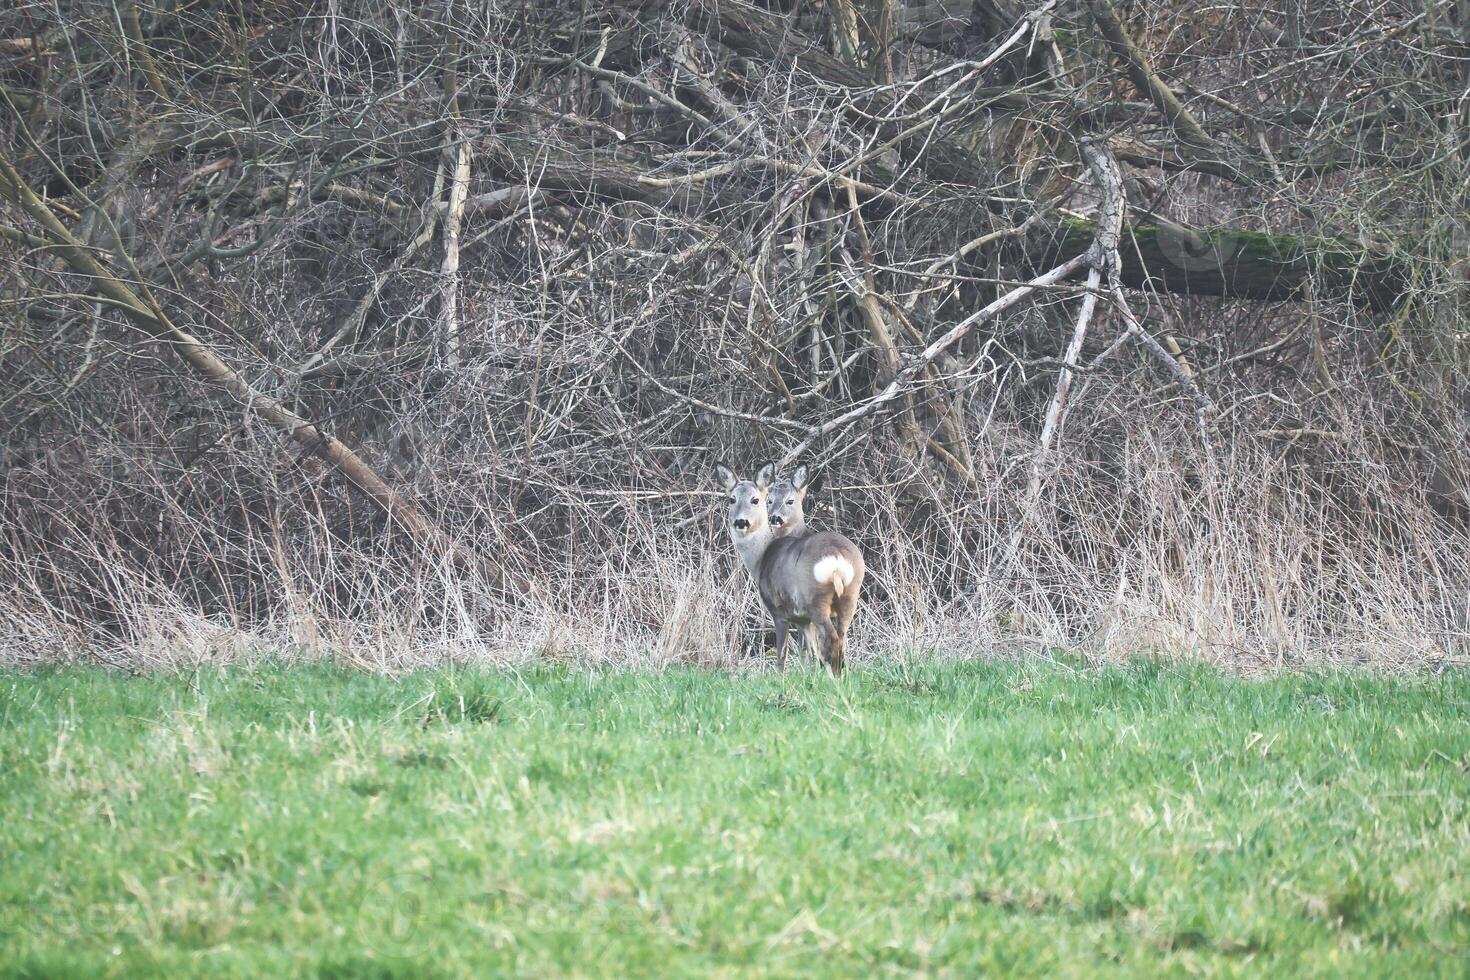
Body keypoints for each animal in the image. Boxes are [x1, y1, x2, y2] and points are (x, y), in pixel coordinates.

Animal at [711, 461, 858, 675]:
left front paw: (780, 678)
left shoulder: (779, 611)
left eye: (755, 500)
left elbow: (783, 654)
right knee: (840, 639)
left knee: (832, 639)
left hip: (817, 600)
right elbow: (808, 651)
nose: (741, 521)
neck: (762, 558)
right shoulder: (802, 618)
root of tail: (837, 560)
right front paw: (809, 676)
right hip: (850, 596)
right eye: (732, 499)